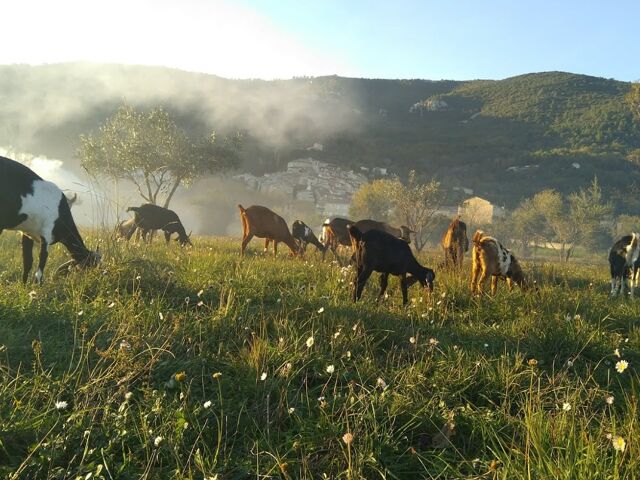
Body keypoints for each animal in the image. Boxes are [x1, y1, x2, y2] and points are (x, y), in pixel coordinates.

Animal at [0, 156, 100, 284]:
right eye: (91, 265)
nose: (94, 278)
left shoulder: (27, 233)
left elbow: (27, 261)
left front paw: (23, 285)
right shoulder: (46, 233)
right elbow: (42, 259)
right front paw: (37, 285)